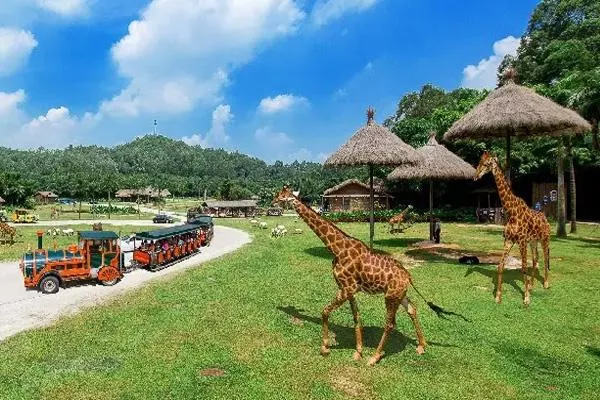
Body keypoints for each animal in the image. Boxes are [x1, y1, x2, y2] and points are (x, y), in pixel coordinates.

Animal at [274, 186, 442, 364]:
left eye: (281, 195)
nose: (273, 202)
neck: (337, 249)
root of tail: (408, 276)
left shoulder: (347, 287)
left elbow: (325, 311)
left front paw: (325, 347)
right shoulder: (348, 289)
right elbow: (356, 318)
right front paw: (358, 352)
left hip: (390, 296)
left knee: (390, 323)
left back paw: (375, 356)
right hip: (399, 294)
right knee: (412, 309)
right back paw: (421, 345)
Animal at [476, 151, 552, 306]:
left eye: (486, 164)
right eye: (479, 162)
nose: (476, 175)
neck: (511, 212)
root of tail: (545, 218)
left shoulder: (521, 241)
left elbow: (523, 267)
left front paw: (526, 298)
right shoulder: (508, 240)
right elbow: (500, 266)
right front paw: (498, 296)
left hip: (545, 239)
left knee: (545, 257)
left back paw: (546, 284)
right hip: (533, 241)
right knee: (536, 258)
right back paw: (531, 285)